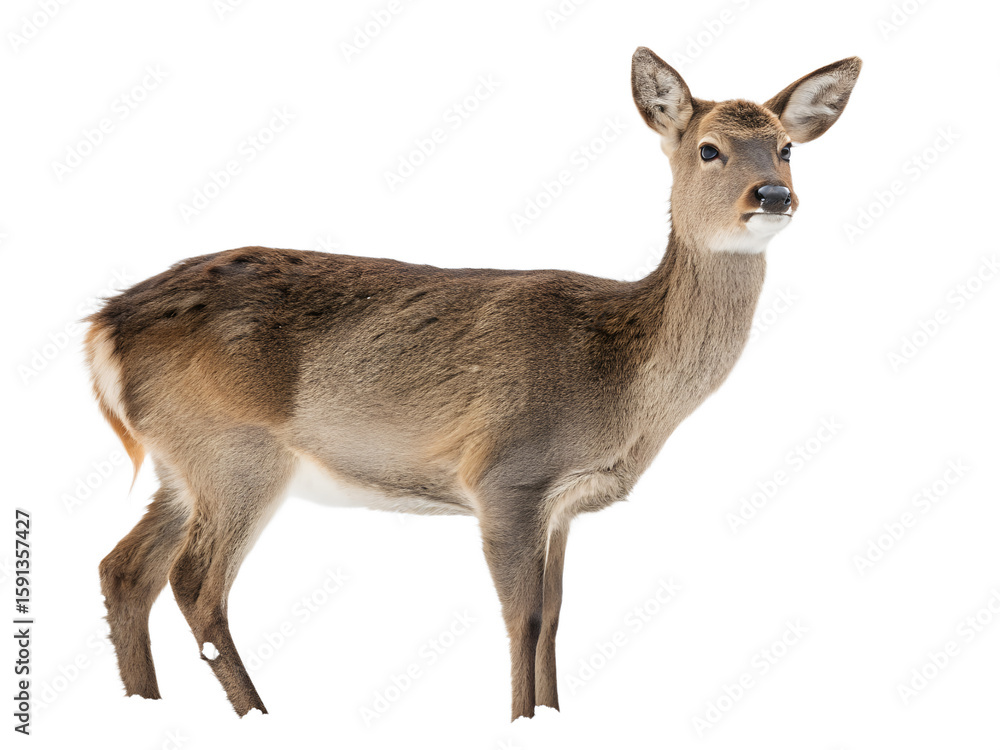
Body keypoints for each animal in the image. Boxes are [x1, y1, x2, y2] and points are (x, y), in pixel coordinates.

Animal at [86, 47, 861, 720]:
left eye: (786, 148)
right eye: (708, 149)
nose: (773, 195)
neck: (625, 386)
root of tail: (102, 327)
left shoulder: (562, 503)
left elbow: (555, 618)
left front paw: (552, 717)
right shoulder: (506, 475)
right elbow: (523, 619)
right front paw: (521, 719)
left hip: (181, 461)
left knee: (125, 569)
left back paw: (144, 706)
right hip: (235, 448)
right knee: (196, 585)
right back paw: (259, 715)